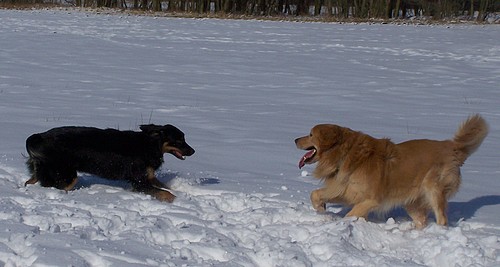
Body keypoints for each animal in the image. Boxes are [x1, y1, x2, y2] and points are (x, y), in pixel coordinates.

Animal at [24, 124, 194, 202]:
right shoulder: (139, 181)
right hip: (67, 175)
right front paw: (178, 200)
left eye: (184, 138)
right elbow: (166, 193)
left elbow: (167, 188)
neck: (150, 144)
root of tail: (40, 137)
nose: (193, 151)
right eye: (179, 140)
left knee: (30, 181)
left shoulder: (148, 177)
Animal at [296, 114, 488, 229]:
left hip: (433, 189)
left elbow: (351, 214)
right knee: (422, 220)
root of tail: (452, 146)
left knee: (442, 218)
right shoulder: (344, 190)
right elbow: (315, 194)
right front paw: (321, 209)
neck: (346, 154)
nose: (295, 139)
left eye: (311, 134)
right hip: (411, 201)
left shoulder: (371, 199)